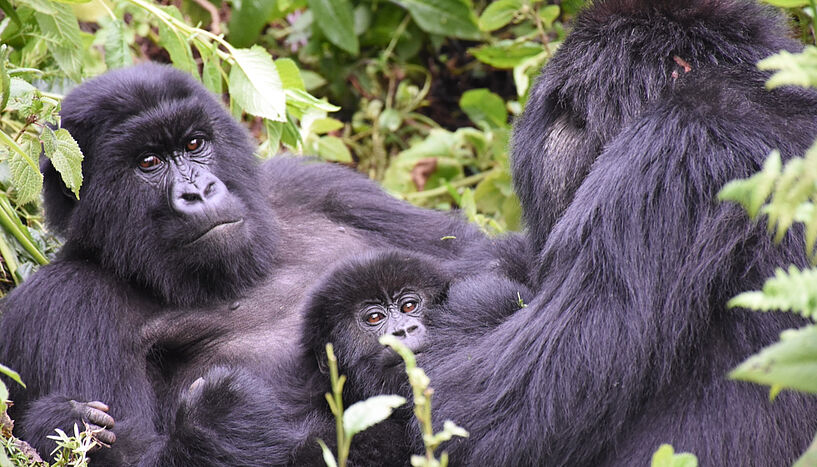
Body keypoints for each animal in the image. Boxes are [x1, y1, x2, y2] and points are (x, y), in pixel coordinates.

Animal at [0, 64, 498, 466]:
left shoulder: (314, 183)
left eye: (195, 143)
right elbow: (124, 449)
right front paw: (219, 415)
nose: (199, 192)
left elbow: (478, 254)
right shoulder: (66, 300)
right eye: (149, 162)